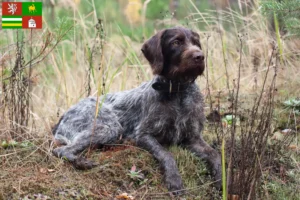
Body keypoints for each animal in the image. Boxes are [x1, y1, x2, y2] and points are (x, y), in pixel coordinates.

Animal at [51, 26, 221, 194]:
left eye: (196, 42)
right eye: (176, 42)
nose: (200, 56)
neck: (177, 91)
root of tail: (66, 114)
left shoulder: (193, 138)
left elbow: (215, 154)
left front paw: (221, 179)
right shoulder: (143, 135)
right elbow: (166, 154)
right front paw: (174, 179)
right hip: (109, 127)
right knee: (61, 151)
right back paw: (82, 162)